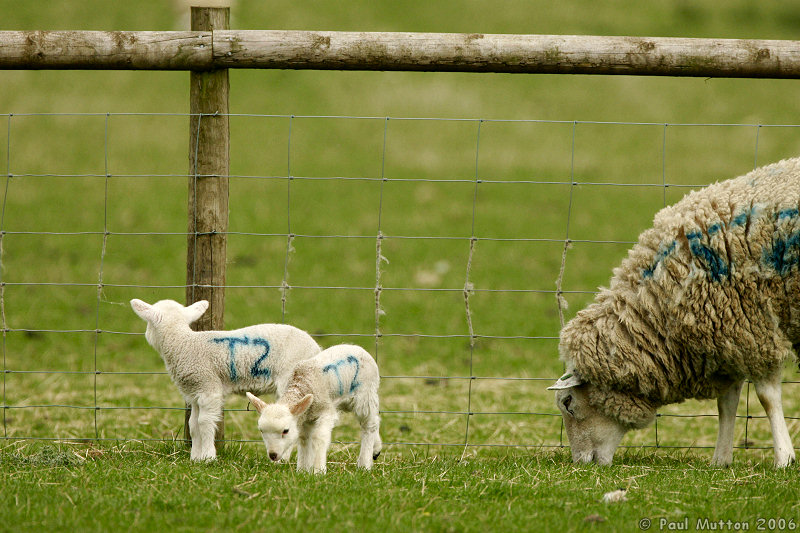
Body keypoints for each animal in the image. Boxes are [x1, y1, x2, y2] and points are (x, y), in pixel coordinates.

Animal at [130, 298, 320, 460]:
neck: (184, 344)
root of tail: (316, 349)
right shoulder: (194, 391)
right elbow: (193, 425)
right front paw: (195, 457)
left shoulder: (208, 387)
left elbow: (204, 422)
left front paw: (208, 457)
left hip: (290, 377)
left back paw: (284, 459)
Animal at [244, 344, 382, 474]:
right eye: (261, 431)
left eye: (285, 431)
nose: (273, 455)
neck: (303, 385)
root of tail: (357, 347)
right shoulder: (306, 416)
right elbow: (304, 439)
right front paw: (303, 470)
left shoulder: (326, 411)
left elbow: (319, 437)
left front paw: (319, 470)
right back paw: (375, 450)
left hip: (365, 395)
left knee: (370, 424)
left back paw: (364, 464)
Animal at [548, 157, 800, 466]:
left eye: (568, 402)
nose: (581, 463)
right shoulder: (729, 336)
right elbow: (727, 402)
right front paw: (720, 460)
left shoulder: (754, 326)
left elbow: (766, 398)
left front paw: (784, 458)